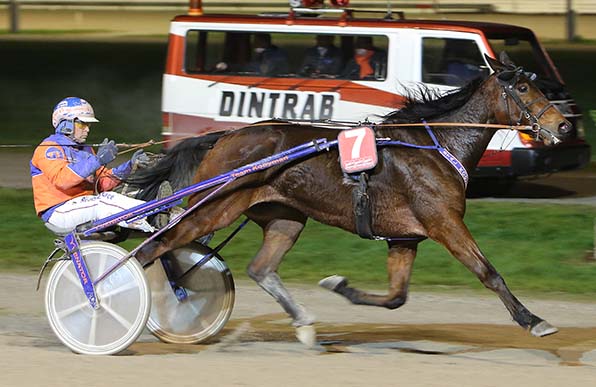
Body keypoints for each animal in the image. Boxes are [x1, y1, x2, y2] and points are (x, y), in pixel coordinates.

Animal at [132, 53, 572, 348]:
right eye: (522, 87)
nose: (564, 125)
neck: (436, 145)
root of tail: (223, 136)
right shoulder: (444, 222)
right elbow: (489, 273)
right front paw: (533, 320)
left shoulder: (404, 237)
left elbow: (396, 297)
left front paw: (339, 285)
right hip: (212, 207)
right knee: (157, 247)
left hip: (284, 216)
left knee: (260, 268)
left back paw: (304, 324)